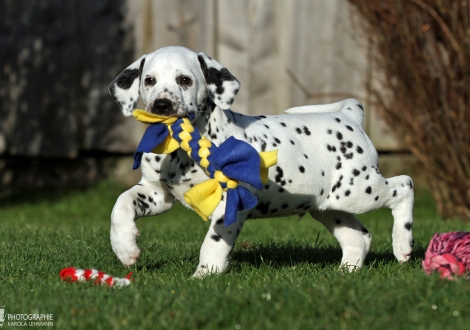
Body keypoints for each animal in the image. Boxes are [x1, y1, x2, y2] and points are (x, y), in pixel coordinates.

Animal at [107, 46, 414, 278]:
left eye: (184, 80)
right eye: (149, 81)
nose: (162, 105)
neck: (180, 150)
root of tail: (350, 116)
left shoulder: (230, 199)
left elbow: (213, 241)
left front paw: (204, 275)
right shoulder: (157, 193)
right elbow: (120, 204)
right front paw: (125, 247)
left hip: (359, 190)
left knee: (404, 185)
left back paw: (403, 244)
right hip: (329, 206)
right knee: (358, 237)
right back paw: (346, 272)